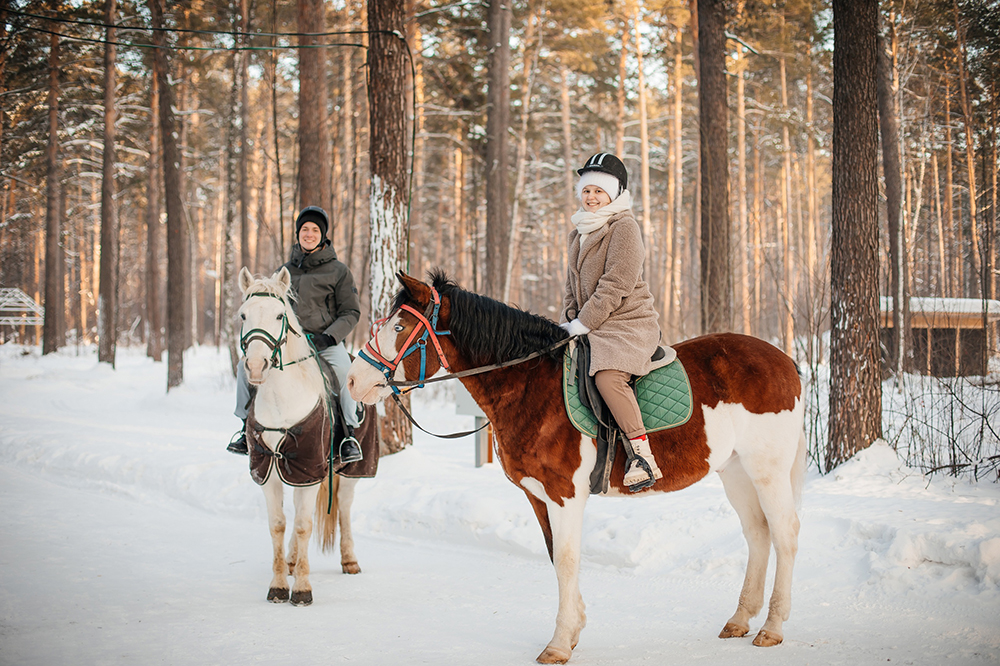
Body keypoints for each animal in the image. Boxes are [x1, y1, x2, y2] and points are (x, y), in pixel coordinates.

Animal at [238, 264, 364, 600]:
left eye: (279, 315)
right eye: (243, 315)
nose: (256, 366)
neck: (282, 399)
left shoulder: (309, 468)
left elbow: (304, 525)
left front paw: (303, 590)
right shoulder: (269, 470)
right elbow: (279, 524)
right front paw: (280, 585)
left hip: (351, 471)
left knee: (344, 506)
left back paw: (350, 561)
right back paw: (293, 561)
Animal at [346, 272, 804, 660]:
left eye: (400, 328)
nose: (353, 381)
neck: (530, 386)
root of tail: (785, 361)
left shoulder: (565, 495)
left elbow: (567, 561)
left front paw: (559, 642)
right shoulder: (538, 496)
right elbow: (555, 558)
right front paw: (575, 628)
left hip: (767, 471)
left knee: (784, 535)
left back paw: (773, 627)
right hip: (735, 472)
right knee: (758, 534)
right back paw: (740, 619)